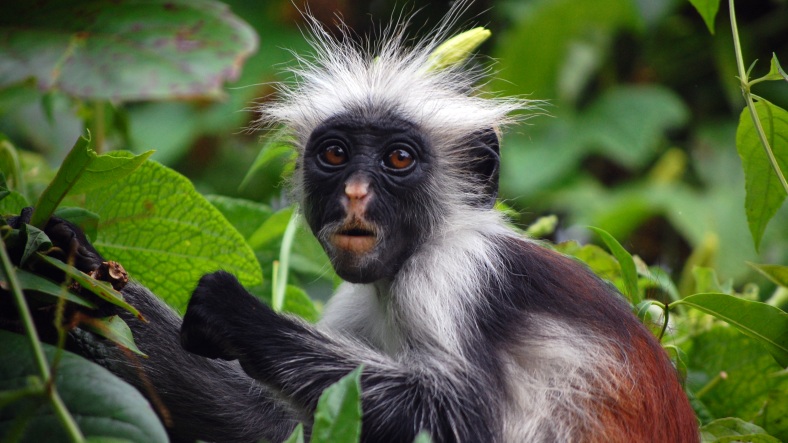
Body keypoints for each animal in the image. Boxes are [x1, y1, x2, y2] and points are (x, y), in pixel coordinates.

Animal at [3, 3, 700, 443]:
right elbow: (271, 425)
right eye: (335, 155)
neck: (417, 252)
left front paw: (236, 315)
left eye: (399, 159)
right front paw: (63, 271)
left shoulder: (456, 274)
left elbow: (463, 421)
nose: (357, 194)